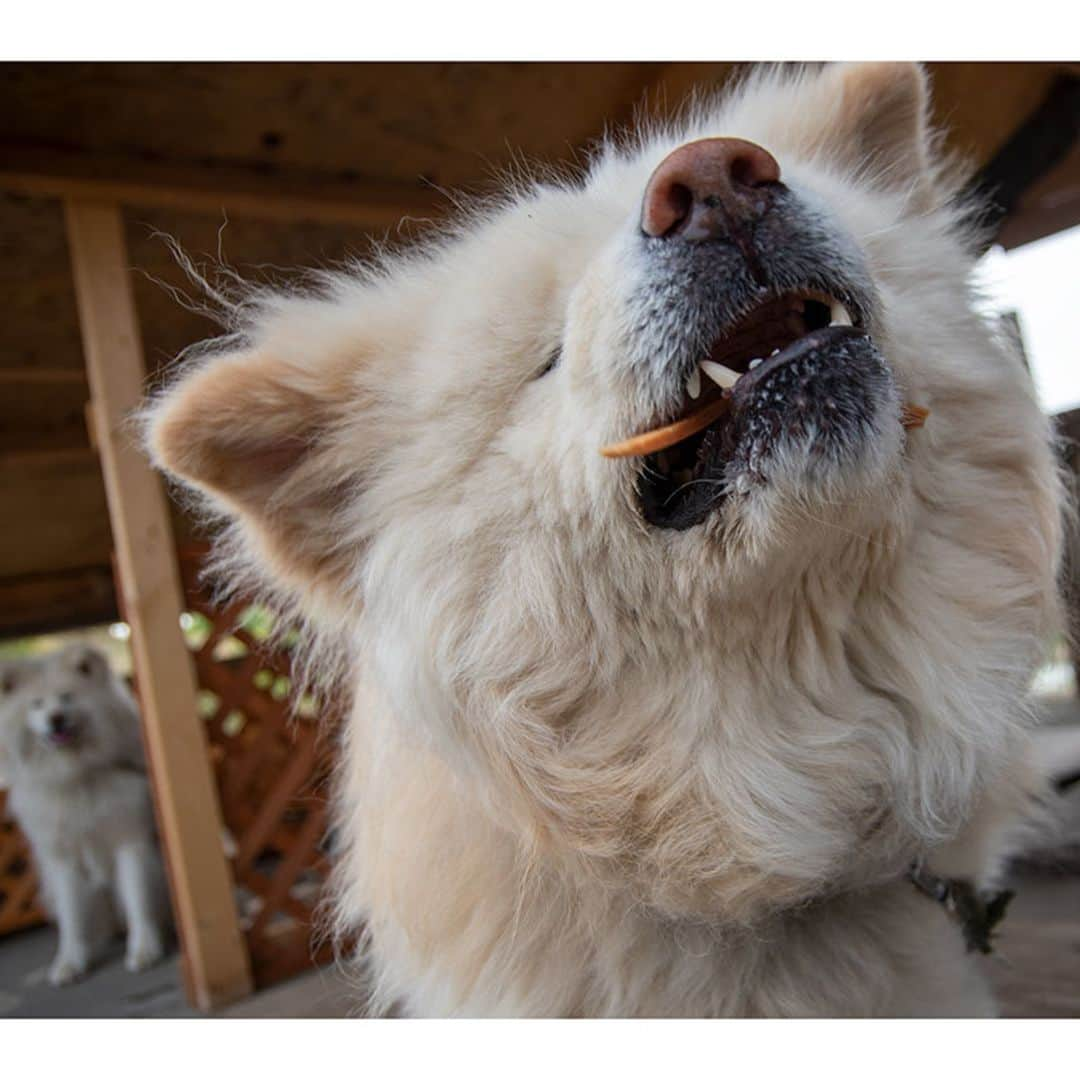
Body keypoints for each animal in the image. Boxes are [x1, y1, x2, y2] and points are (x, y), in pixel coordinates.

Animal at [0, 643, 169, 984]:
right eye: (36, 704)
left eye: (68, 696)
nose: (56, 718)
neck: (75, 775)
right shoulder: (63, 859)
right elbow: (72, 916)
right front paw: (70, 961)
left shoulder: (131, 840)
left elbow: (138, 897)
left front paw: (144, 948)